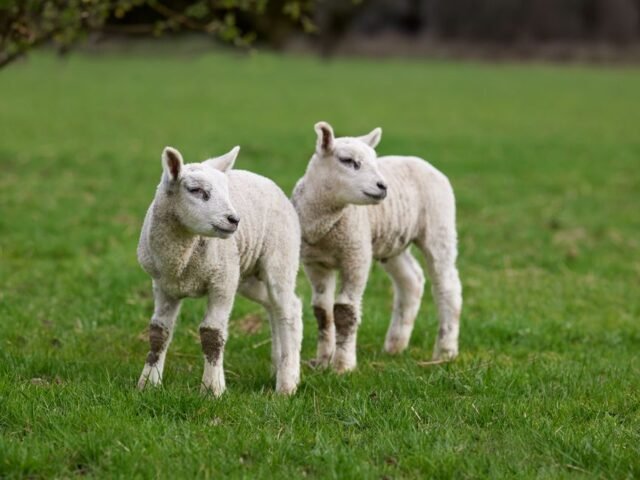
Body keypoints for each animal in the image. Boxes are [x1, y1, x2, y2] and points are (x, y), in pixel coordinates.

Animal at [137, 145, 303, 396]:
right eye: (196, 190)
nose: (234, 220)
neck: (181, 260)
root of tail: (266, 181)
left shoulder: (223, 280)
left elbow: (212, 333)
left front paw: (212, 389)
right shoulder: (164, 286)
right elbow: (158, 332)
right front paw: (148, 383)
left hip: (281, 256)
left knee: (289, 310)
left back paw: (287, 383)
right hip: (247, 277)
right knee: (275, 306)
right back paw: (280, 366)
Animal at [291, 122, 462, 372]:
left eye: (374, 160)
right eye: (348, 160)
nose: (383, 187)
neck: (325, 224)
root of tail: (421, 161)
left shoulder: (356, 254)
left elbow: (344, 310)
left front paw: (343, 366)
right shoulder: (315, 262)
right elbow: (322, 311)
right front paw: (322, 362)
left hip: (439, 226)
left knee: (447, 286)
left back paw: (445, 351)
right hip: (393, 242)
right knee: (411, 280)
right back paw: (395, 345)